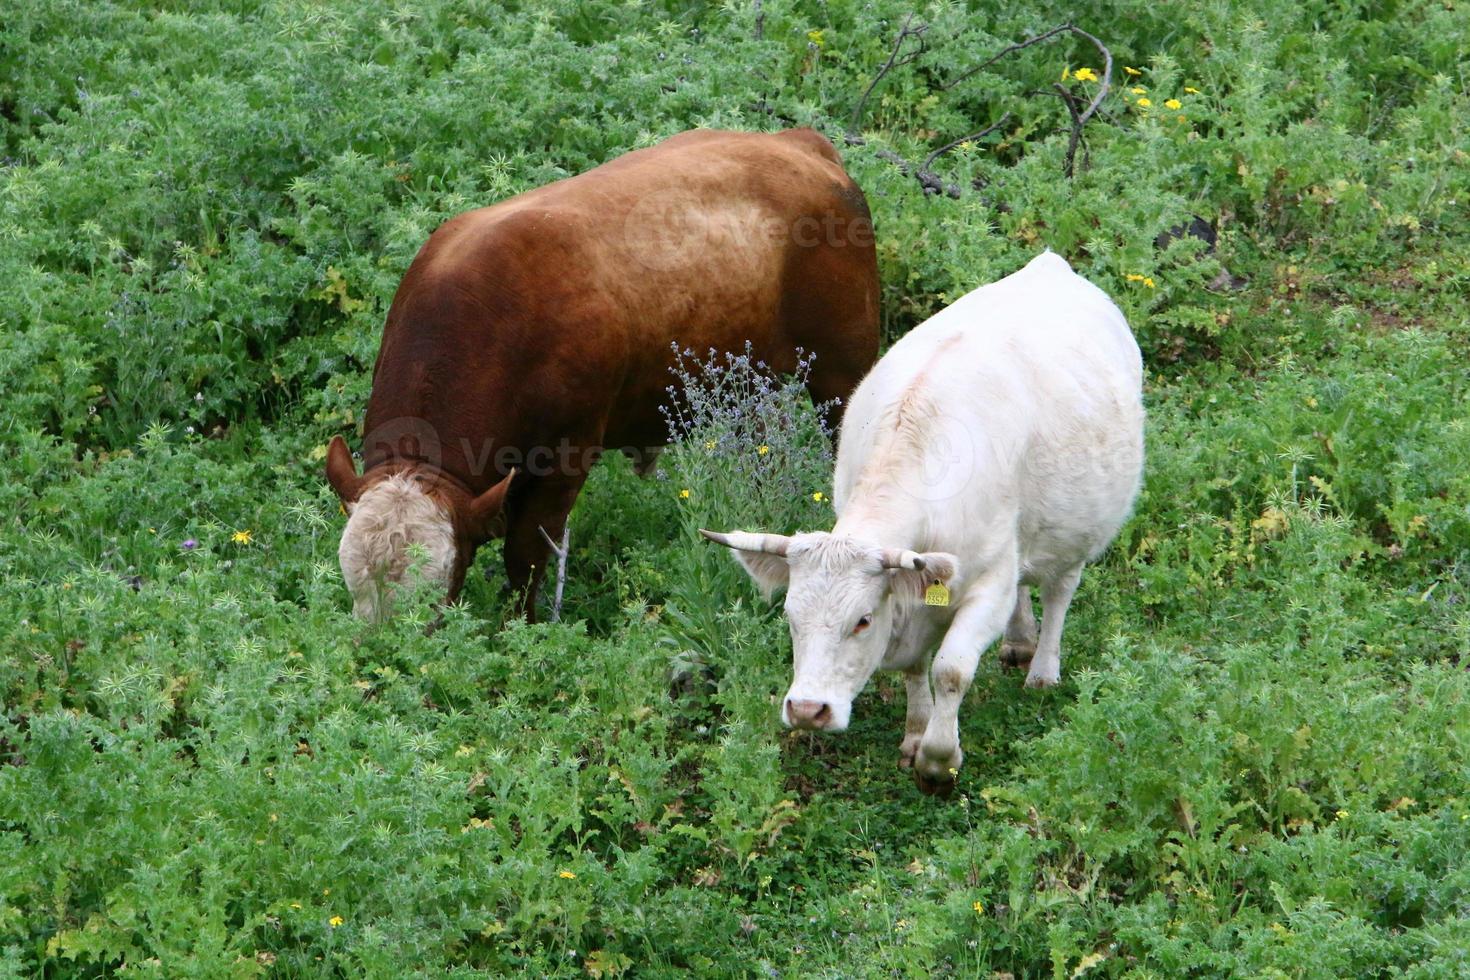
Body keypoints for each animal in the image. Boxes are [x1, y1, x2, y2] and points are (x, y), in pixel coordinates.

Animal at [324, 128, 870, 620]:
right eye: (355, 594)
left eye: (432, 607)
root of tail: (800, 143)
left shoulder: (566, 455)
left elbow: (525, 556)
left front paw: (520, 629)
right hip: (749, 390)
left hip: (842, 366)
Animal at [702, 249, 1146, 793]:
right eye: (790, 617)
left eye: (862, 620)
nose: (808, 710)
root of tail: (1050, 265)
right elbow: (915, 666)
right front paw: (916, 735)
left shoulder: (988, 585)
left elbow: (950, 670)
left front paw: (938, 759)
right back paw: (1020, 641)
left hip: (1078, 530)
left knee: (1059, 590)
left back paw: (1042, 670)